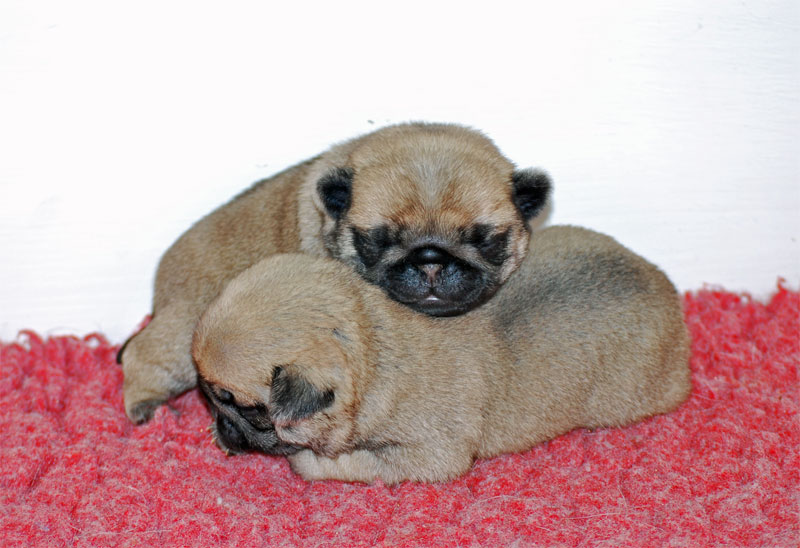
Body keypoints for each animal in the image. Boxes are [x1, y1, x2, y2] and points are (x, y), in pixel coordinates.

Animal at [119, 123, 552, 423]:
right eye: (377, 240)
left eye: (485, 240)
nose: (430, 258)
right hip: (181, 336)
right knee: (144, 356)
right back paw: (146, 408)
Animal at [192, 225, 692, 484]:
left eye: (246, 408)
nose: (220, 424)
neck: (375, 347)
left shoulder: (426, 456)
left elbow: (340, 463)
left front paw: (303, 460)